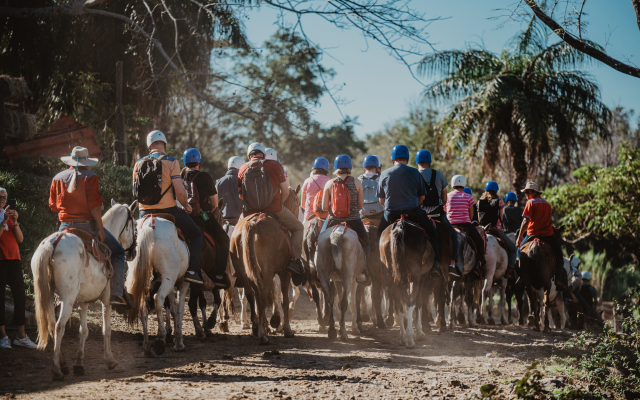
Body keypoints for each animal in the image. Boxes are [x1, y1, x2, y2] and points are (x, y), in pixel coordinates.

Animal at [31, 202, 137, 380]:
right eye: (135, 225)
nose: (134, 252)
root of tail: (53, 242)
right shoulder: (106, 300)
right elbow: (106, 330)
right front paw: (110, 361)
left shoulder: (83, 302)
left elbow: (84, 331)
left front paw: (79, 364)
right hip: (67, 299)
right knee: (59, 326)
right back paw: (57, 370)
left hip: (50, 295)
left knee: (52, 325)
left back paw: (63, 364)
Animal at [125, 214, 190, 354]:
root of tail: (149, 225)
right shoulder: (183, 283)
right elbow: (179, 309)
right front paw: (178, 341)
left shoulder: (171, 285)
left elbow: (173, 307)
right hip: (168, 278)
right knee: (158, 298)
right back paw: (160, 338)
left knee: (143, 307)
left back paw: (147, 346)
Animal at [230, 184, 300, 344]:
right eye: (298, 202)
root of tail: (251, 224)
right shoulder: (284, 272)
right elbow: (284, 299)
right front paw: (285, 328)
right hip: (267, 271)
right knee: (261, 292)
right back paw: (263, 333)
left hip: (244, 272)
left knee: (251, 294)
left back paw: (256, 327)